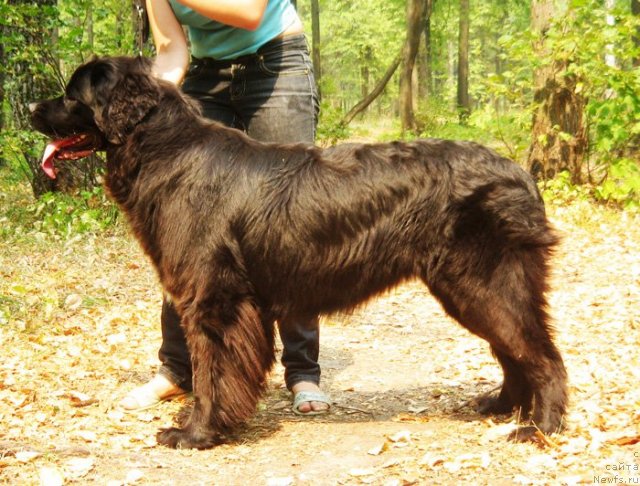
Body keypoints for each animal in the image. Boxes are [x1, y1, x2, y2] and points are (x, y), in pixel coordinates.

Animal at [32, 56, 568, 448]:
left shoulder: (214, 300)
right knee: (514, 351)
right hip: (467, 290)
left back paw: (539, 427)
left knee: (542, 355)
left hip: (484, 284)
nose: (32, 109)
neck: (164, 149)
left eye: (71, 95)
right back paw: (500, 406)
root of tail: (520, 173)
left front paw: (195, 433)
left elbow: (211, 372)